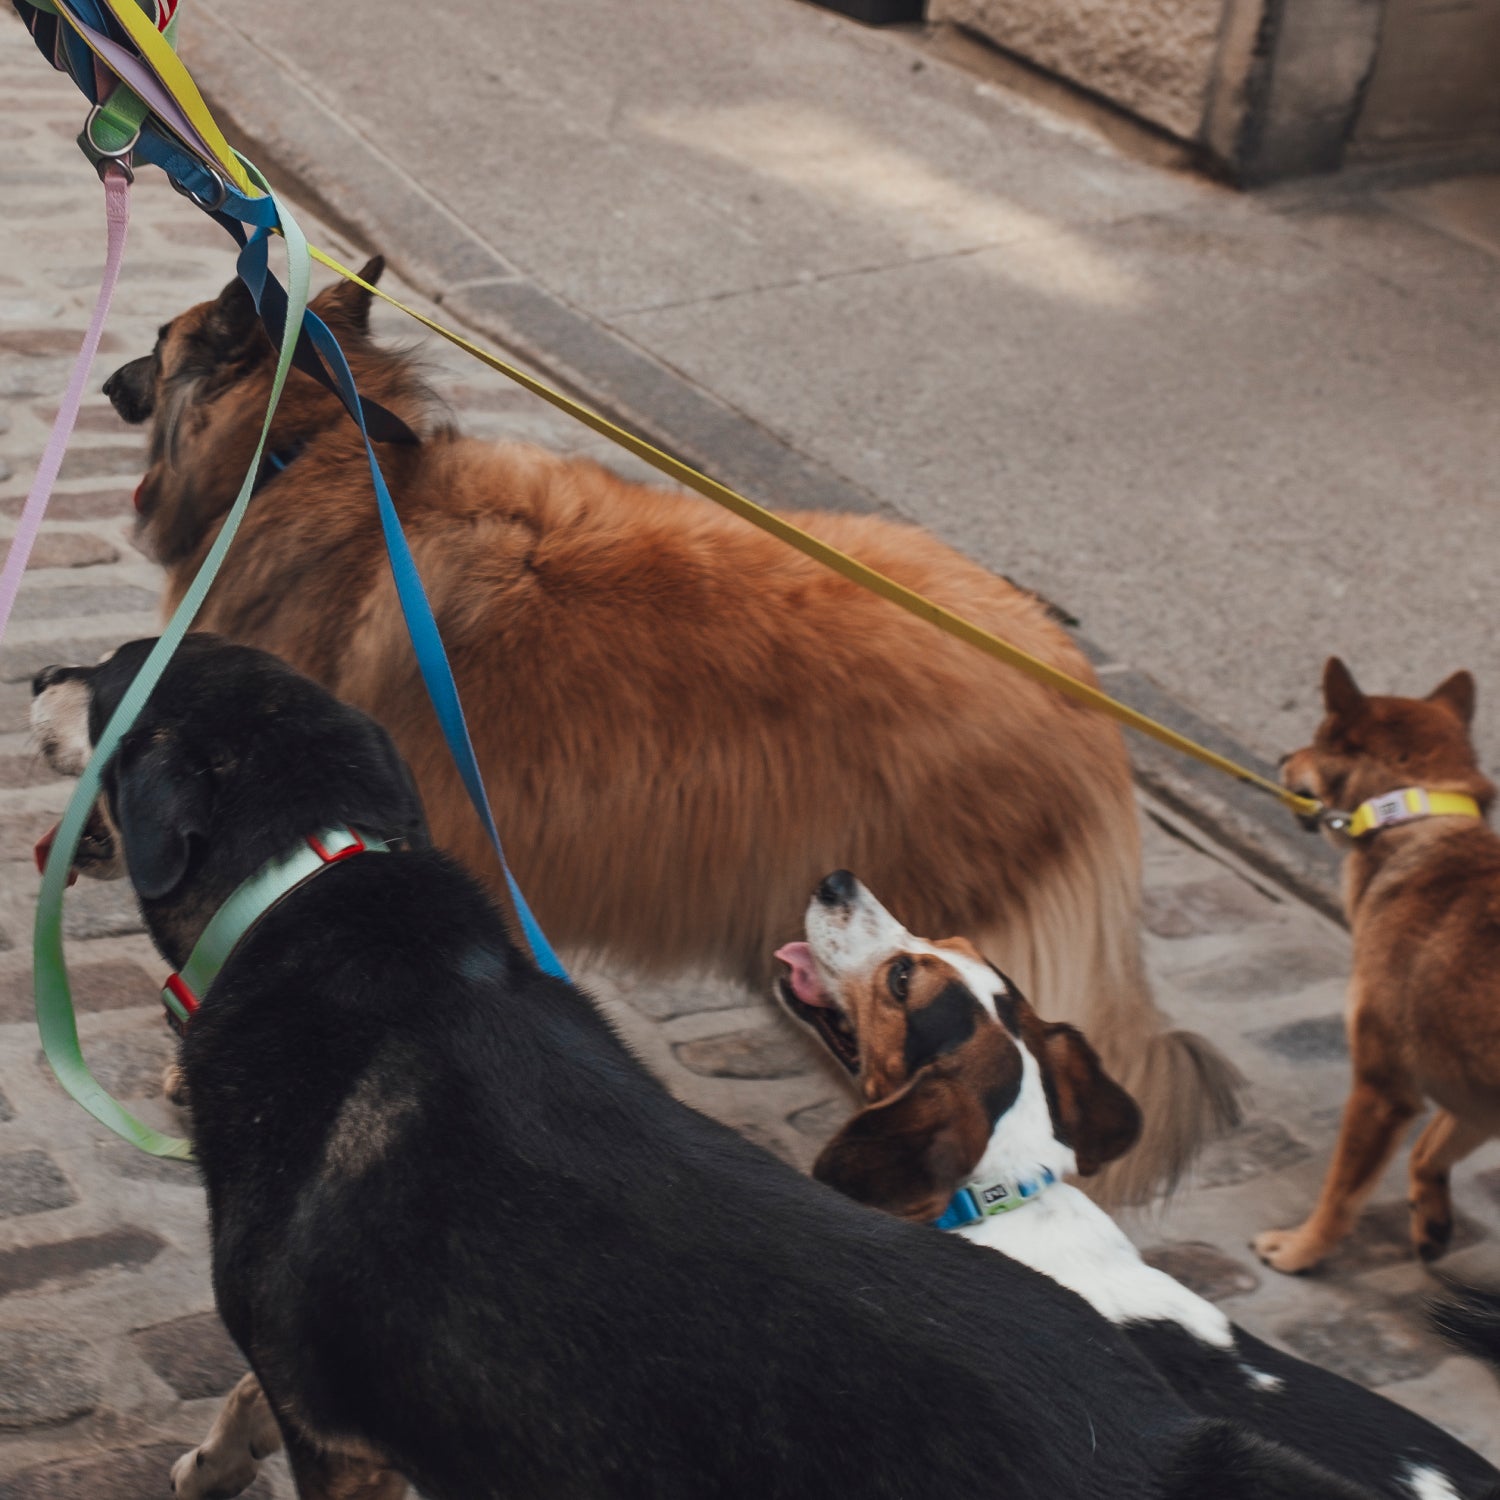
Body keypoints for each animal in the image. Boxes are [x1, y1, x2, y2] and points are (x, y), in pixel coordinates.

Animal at [32, 636, 1374, 1500]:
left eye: (110, 673)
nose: (34, 672)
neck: (304, 874)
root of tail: (1165, 1442)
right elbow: (242, 1401)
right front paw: (210, 1466)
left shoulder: (341, 1429)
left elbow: (263, 1398)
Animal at [1254, 663, 1500, 1272]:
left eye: (1321, 739)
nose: (1282, 757)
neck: (1414, 819)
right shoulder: (1473, 1098)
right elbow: (1428, 1149)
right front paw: (1431, 1220)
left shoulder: (1382, 1089)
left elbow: (1339, 1195)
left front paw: (1300, 1250)